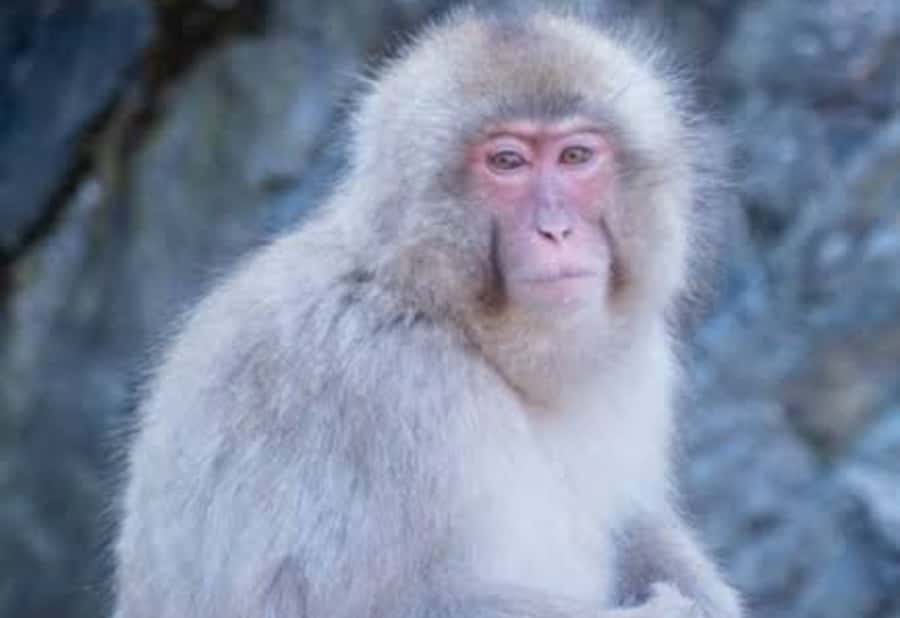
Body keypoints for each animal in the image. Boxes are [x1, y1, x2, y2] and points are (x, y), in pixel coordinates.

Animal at [113, 6, 742, 618]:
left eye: (576, 156)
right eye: (507, 161)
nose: (556, 230)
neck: (441, 313)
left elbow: (637, 523)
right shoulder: (381, 383)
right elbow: (384, 602)